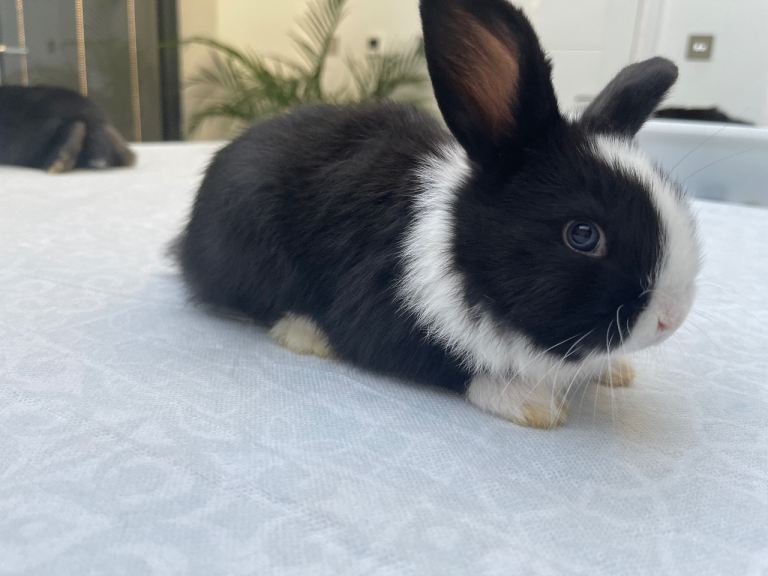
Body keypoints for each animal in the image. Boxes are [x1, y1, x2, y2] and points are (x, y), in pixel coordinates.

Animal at [177, 0, 699, 428]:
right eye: (583, 235)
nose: (671, 319)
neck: (465, 258)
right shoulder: (381, 314)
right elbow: (451, 365)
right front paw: (532, 403)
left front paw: (615, 370)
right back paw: (306, 333)